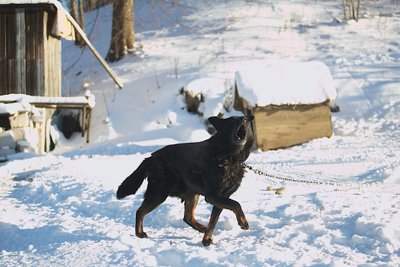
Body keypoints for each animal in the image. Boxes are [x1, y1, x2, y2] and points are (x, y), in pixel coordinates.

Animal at [116, 115, 253, 247]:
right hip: (159, 194)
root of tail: (150, 158)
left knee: (187, 217)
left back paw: (202, 228)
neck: (229, 156)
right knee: (140, 211)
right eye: (231, 121)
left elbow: (213, 221)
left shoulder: (222, 197)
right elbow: (236, 204)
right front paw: (243, 222)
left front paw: (206, 239)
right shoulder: (213, 196)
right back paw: (139, 233)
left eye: (243, 118)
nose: (244, 118)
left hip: (191, 194)